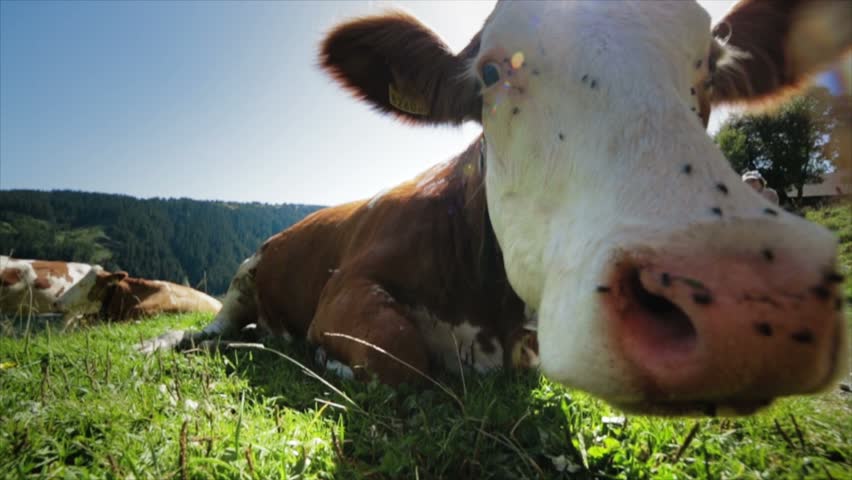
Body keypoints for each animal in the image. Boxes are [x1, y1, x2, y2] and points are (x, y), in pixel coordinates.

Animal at [141, 0, 851, 416]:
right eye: (489, 72)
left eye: (711, 66)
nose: (739, 300)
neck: (487, 308)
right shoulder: (348, 285)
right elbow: (400, 355)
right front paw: (328, 360)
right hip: (245, 271)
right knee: (217, 327)